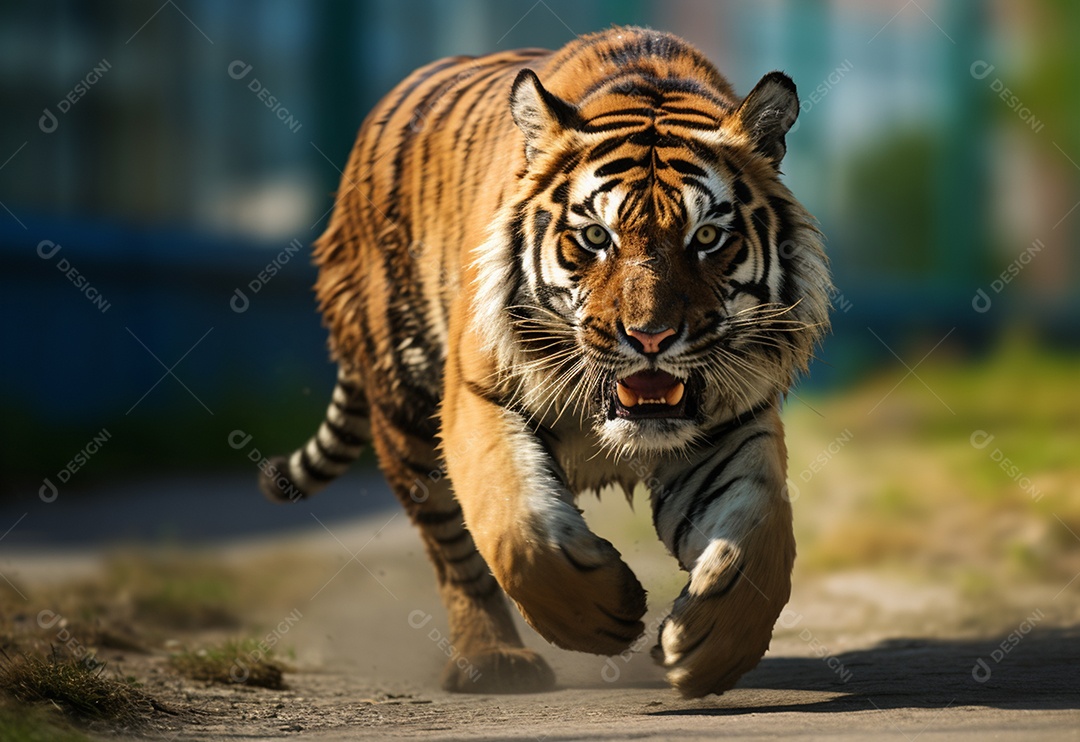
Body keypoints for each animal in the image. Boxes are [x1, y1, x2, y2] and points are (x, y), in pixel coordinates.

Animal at [259, 26, 831, 698]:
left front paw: (710, 647)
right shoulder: (479, 394)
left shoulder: (733, 421)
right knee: (452, 550)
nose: (652, 337)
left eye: (708, 238)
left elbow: (758, 533)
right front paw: (602, 614)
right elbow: (517, 524)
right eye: (596, 238)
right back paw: (493, 661)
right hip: (403, 406)